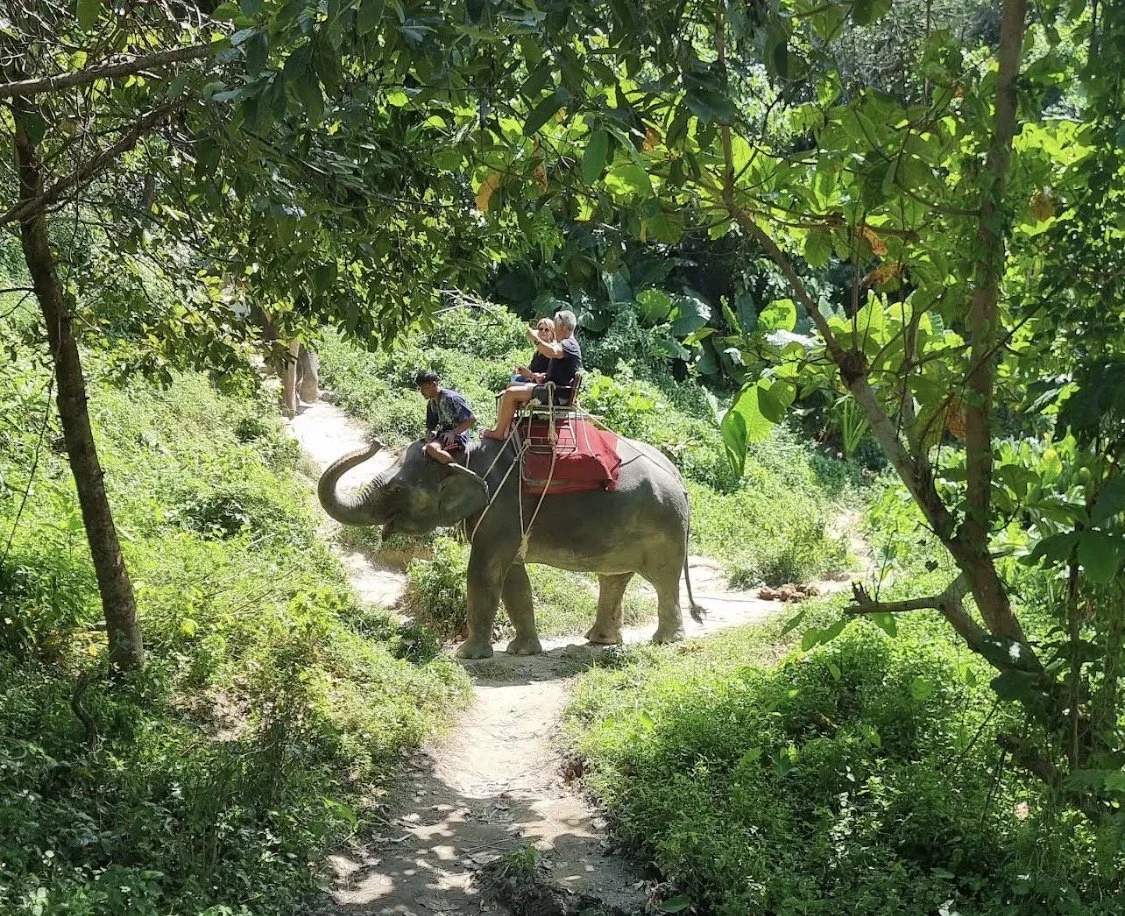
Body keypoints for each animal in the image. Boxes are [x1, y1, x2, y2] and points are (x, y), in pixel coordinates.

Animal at [318, 434, 704, 658]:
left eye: (396, 489)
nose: (375, 443)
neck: (465, 456)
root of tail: (679, 477)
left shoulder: (500, 507)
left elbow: (484, 572)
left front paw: (466, 655)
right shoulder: (506, 518)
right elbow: (513, 578)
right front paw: (522, 651)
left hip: (665, 528)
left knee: (662, 580)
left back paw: (665, 641)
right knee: (614, 578)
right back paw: (600, 641)